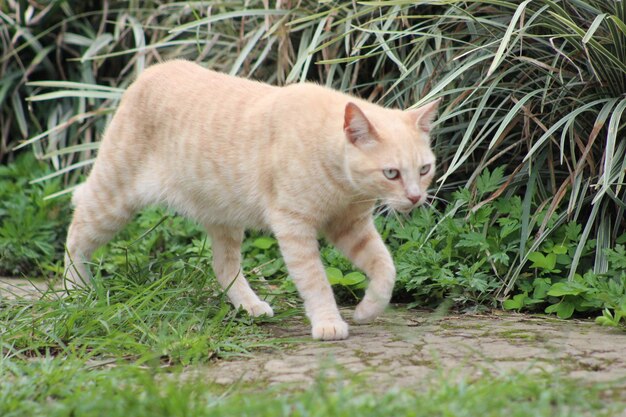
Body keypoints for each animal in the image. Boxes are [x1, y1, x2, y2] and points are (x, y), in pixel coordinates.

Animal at [63, 61, 436, 342]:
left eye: (424, 169)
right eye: (391, 173)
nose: (416, 197)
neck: (343, 185)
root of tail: (150, 70)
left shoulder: (351, 227)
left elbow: (386, 267)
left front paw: (367, 309)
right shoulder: (294, 226)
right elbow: (315, 280)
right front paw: (328, 323)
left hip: (224, 217)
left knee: (223, 265)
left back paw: (250, 306)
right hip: (113, 201)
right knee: (76, 234)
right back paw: (73, 293)